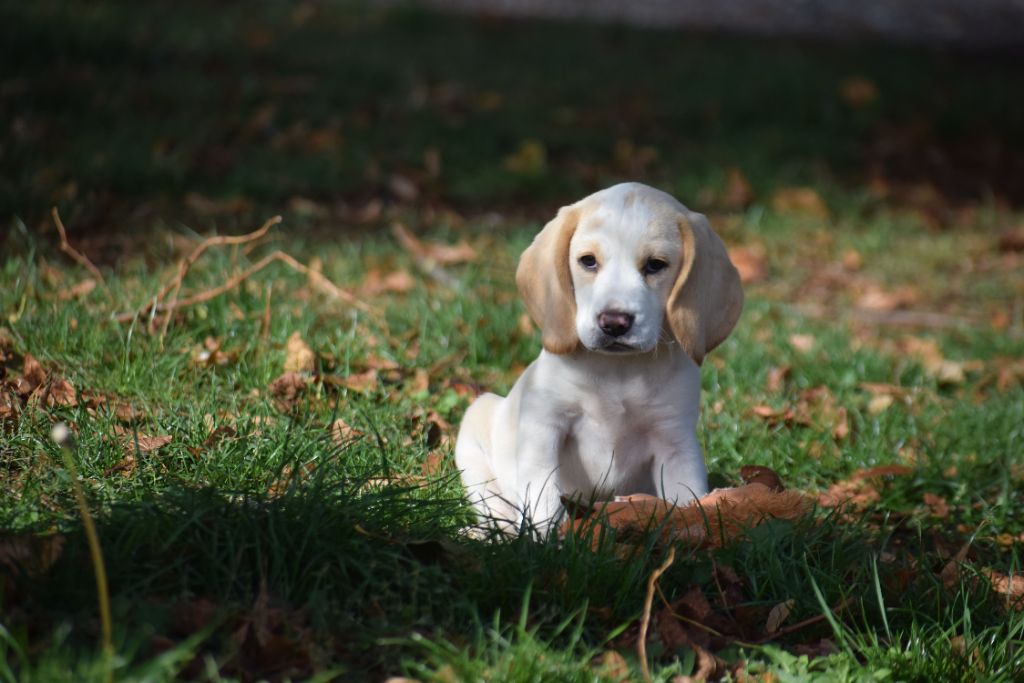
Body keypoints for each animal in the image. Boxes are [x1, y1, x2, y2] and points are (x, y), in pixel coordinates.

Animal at [458, 181, 745, 532]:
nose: (615, 322)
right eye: (588, 261)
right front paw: (549, 539)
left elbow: (686, 501)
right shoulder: (543, 428)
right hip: (477, 425)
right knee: (498, 510)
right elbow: (544, 496)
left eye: (655, 265)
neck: (616, 371)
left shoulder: (675, 443)